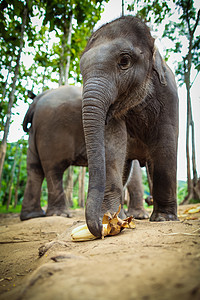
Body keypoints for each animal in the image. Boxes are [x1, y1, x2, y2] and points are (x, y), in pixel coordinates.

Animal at [20, 84, 148, 220]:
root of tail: (37, 99)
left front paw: (121, 215)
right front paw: (139, 216)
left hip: (35, 132)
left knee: (34, 169)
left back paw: (33, 215)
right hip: (53, 131)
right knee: (54, 169)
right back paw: (60, 214)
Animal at [80, 16, 180, 238]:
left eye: (124, 61)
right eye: (81, 70)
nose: (99, 228)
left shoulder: (169, 93)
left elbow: (166, 143)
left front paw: (164, 219)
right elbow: (112, 140)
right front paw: (109, 217)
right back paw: (122, 215)